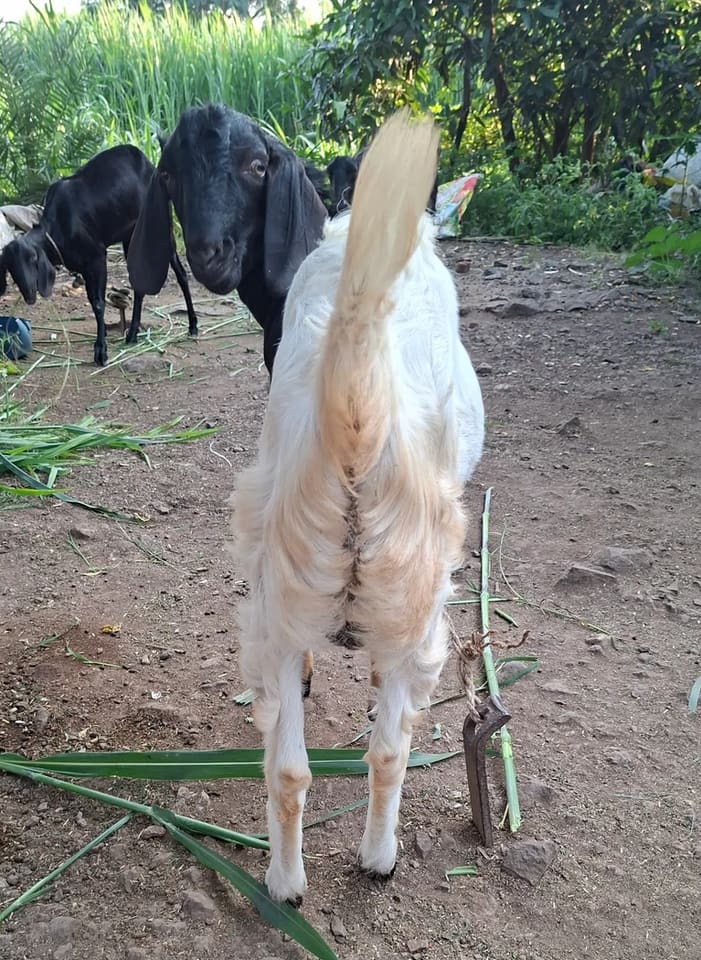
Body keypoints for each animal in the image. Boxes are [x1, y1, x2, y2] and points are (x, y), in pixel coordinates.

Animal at [0, 146, 198, 366]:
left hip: (161, 229)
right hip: (130, 238)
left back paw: (192, 326)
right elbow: (92, 300)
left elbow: (98, 303)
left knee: (180, 273)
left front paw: (101, 351)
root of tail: (147, 163)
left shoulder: (97, 258)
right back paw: (132, 335)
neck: (61, 224)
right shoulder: (84, 267)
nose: (29, 295)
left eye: (33, 259)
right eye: (10, 267)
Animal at [230, 110, 485, 903]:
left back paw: (286, 885)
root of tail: (356, 418)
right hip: (421, 603)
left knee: (290, 768)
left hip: (280, 596)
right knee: (390, 749)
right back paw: (378, 858)